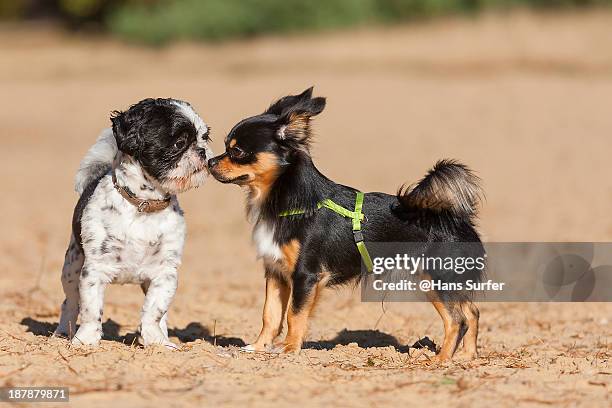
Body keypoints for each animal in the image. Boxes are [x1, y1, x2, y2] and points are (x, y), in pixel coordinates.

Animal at [55, 98, 213, 348]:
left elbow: (154, 312)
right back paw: (63, 331)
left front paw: (156, 341)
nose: (202, 151)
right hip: (71, 268)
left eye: (205, 137)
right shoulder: (95, 270)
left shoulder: (165, 273)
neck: (144, 206)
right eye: (179, 143)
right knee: (70, 302)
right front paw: (86, 340)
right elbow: (91, 311)